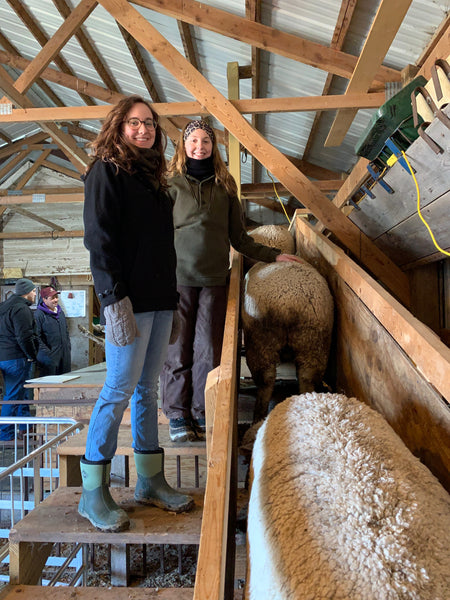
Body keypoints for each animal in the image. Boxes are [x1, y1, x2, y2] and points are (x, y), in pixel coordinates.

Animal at [243, 258, 334, 422]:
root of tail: (289, 304)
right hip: (313, 342)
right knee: (307, 378)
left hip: (260, 342)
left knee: (266, 381)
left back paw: (258, 417)